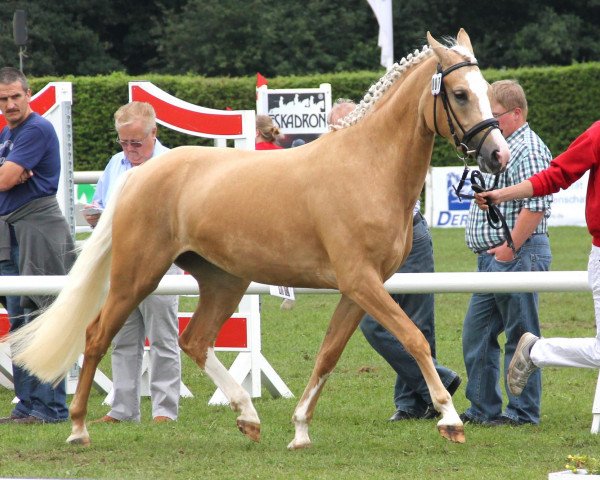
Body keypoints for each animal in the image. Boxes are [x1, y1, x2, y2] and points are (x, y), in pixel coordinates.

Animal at [7, 29, 508, 450]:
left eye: (487, 92)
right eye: (460, 94)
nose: (498, 155)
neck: (367, 167)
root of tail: (141, 174)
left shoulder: (358, 289)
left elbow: (328, 355)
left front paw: (300, 430)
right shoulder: (361, 282)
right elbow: (414, 339)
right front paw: (449, 419)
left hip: (223, 281)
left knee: (194, 340)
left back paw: (248, 417)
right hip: (137, 276)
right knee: (95, 336)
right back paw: (78, 429)